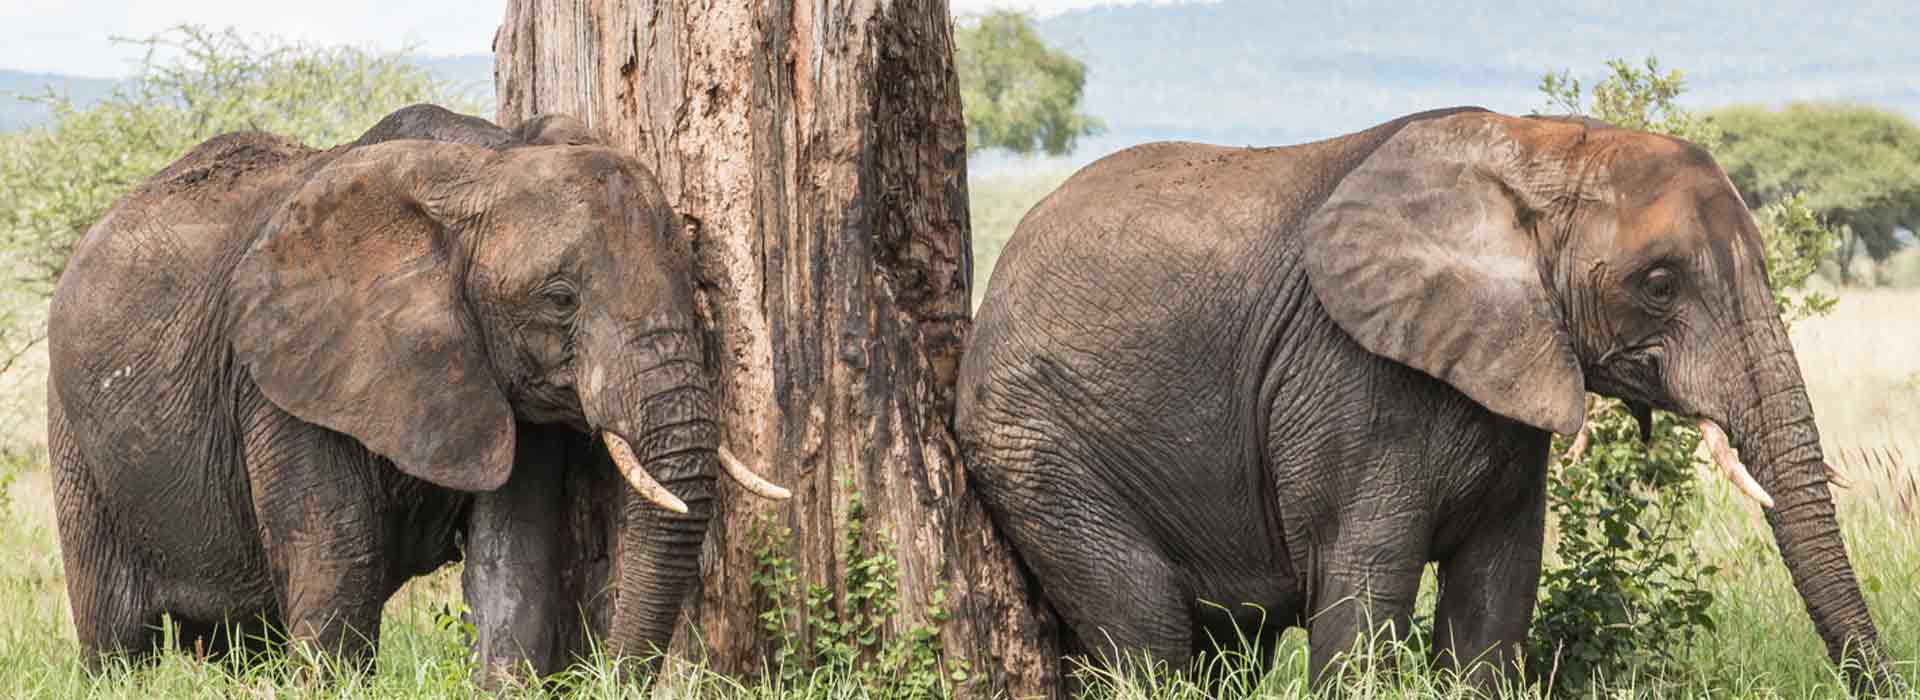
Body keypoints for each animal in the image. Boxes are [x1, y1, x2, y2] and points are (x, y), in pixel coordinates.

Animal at [50, 103, 787, 682]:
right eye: (559, 300)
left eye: (698, 283)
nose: (608, 675)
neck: (483, 162)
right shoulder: (282, 377)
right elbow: (339, 554)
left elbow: (514, 556)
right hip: (75, 432)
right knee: (116, 630)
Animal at [956, 106, 1904, 690]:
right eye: (1661, 283)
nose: (1885, 680)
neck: (1546, 149)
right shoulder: (1350, 381)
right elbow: (1362, 598)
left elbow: (1495, 602)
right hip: (1037, 449)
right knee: (1148, 634)